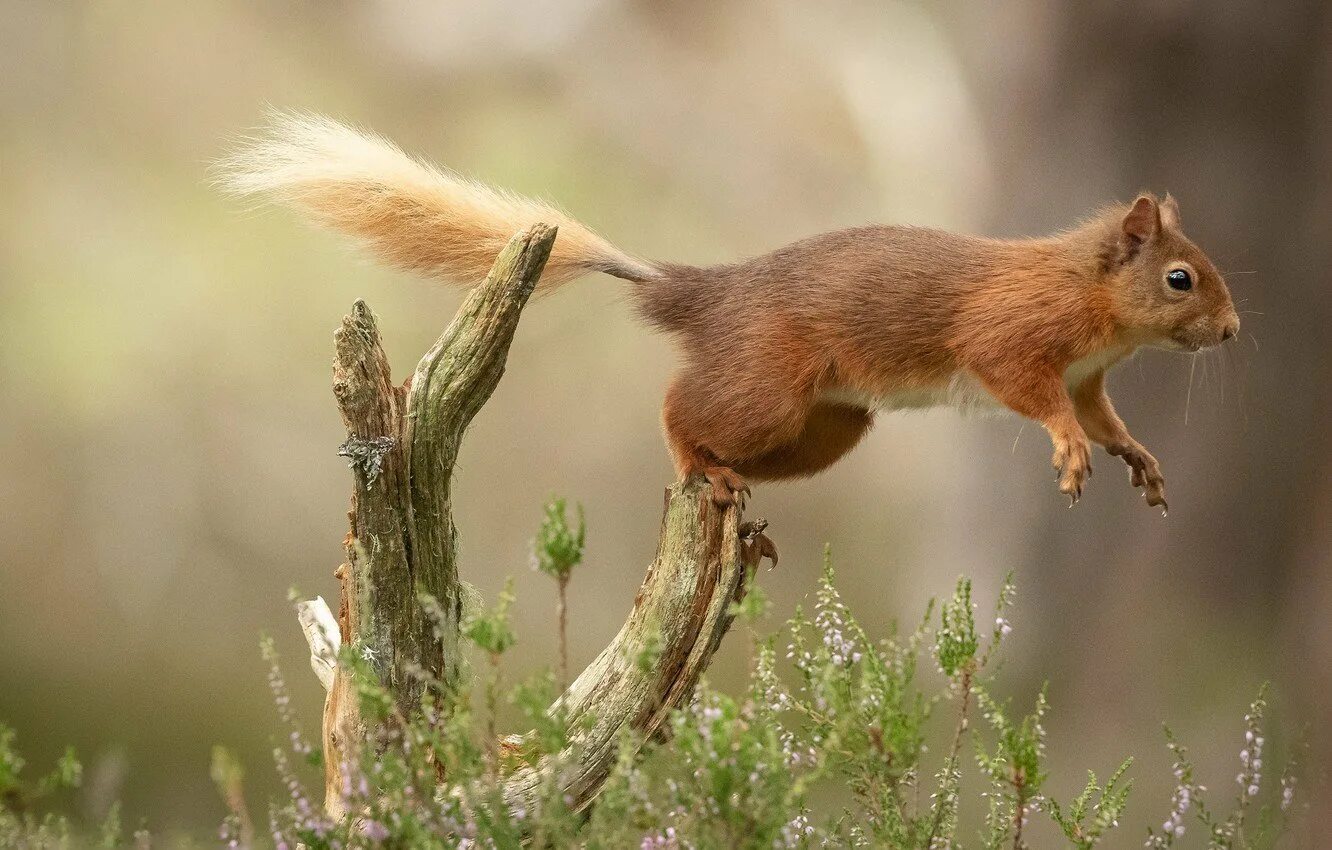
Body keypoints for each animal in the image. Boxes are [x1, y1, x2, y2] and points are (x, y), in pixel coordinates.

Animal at [226, 113, 1236, 511]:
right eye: (1181, 279)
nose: (1232, 334)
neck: (1091, 296)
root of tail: (706, 295)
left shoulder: (1092, 377)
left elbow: (1105, 419)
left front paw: (1137, 458)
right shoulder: (1016, 338)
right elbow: (1034, 395)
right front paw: (1066, 451)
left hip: (826, 426)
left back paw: (735, 493)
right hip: (767, 387)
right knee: (677, 411)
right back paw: (697, 468)